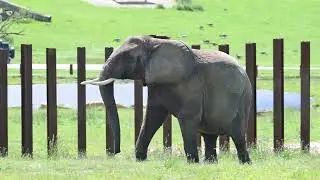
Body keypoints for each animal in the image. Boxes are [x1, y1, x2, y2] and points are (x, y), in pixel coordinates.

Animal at [81, 34, 254, 164]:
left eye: (128, 57)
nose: (117, 152)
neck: (155, 43)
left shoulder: (192, 85)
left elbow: (187, 118)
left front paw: (192, 163)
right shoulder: (157, 83)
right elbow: (153, 117)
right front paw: (140, 160)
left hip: (242, 99)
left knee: (237, 135)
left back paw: (244, 163)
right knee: (209, 135)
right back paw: (210, 164)